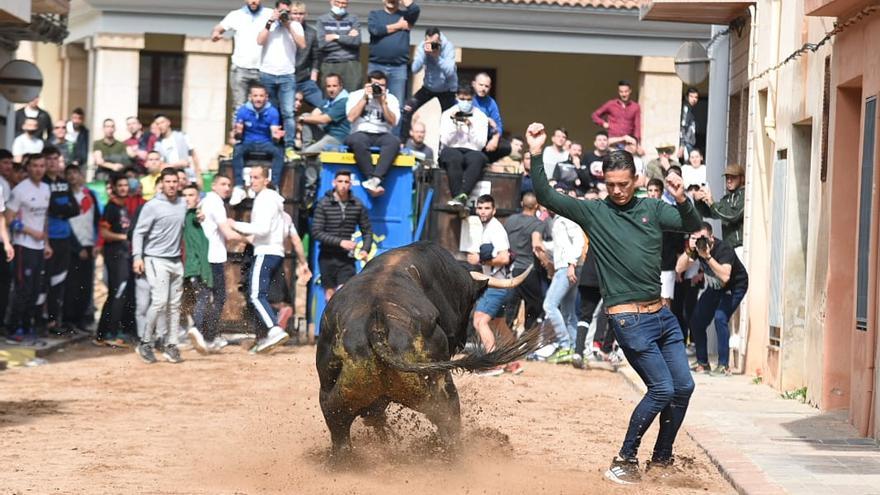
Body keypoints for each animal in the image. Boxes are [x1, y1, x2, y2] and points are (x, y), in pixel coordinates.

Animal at [316, 242, 544, 456]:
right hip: (441, 392)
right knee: (449, 429)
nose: (462, 342)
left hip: (334, 404)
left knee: (344, 437)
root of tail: (376, 325)